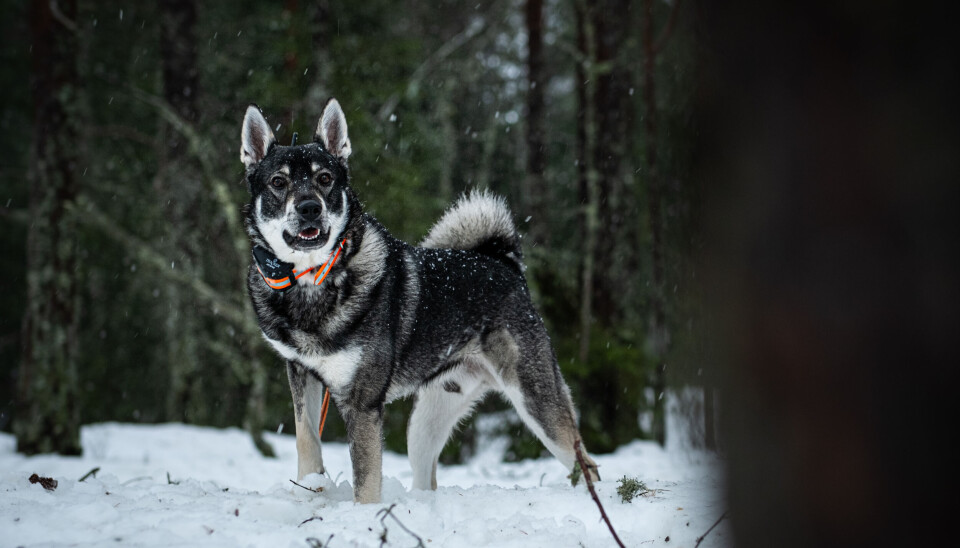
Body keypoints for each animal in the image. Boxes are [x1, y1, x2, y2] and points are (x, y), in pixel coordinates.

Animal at [240, 97, 600, 500]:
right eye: (278, 182)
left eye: (325, 179)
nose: (309, 208)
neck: (316, 279)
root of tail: (503, 262)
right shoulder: (301, 374)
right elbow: (306, 442)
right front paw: (310, 491)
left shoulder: (363, 403)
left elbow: (367, 479)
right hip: (426, 421)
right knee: (427, 476)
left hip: (536, 401)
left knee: (585, 463)